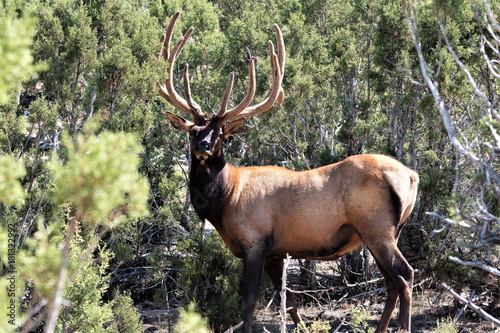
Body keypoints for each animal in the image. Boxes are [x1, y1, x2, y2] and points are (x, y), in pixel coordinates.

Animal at [157, 11, 418, 330]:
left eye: (221, 135)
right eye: (193, 131)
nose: (203, 146)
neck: (225, 200)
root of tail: (412, 176)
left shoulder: (255, 240)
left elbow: (249, 301)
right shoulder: (276, 252)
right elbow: (290, 302)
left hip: (376, 226)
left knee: (405, 275)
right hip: (381, 232)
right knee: (391, 282)